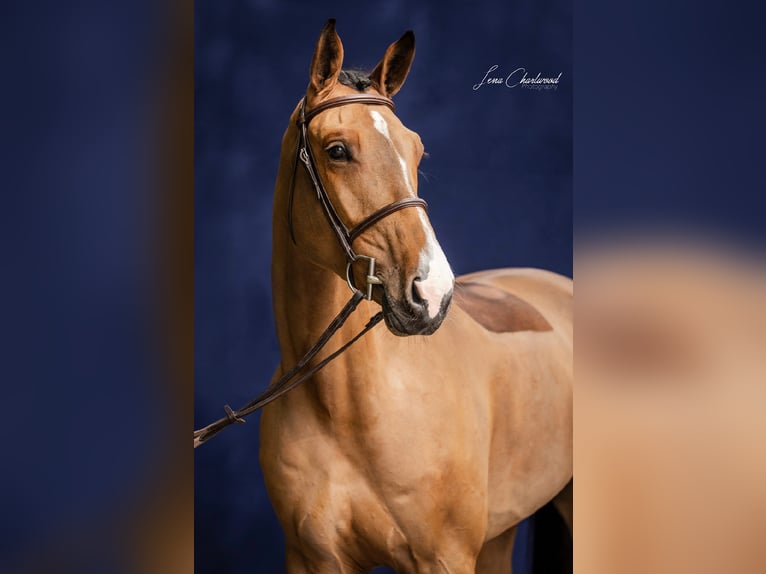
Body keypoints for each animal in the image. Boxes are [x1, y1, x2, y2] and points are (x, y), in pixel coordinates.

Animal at [259, 20, 572, 573]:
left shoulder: (444, 557)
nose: (433, 292)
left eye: (417, 150)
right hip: (501, 532)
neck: (346, 407)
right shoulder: (312, 558)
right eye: (337, 150)